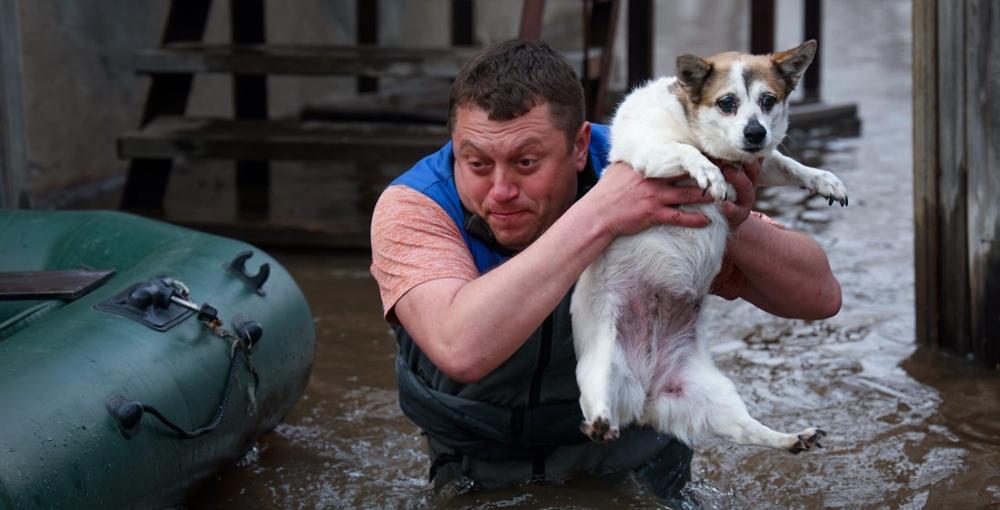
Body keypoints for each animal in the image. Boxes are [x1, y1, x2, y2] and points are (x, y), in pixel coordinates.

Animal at [572, 40, 844, 454]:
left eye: (768, 100)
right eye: (726, 102)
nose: (755, 132)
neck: (695, 128)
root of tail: (645, 396)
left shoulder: (759, 162)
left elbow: (785, 162)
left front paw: (822, 179)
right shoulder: (650, 153)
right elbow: (688, 153)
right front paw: (709, 172)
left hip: (714, 396)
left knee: (749, 430)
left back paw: (792, 438)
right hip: (601, 365)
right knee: (598, 402)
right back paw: (601, 423)